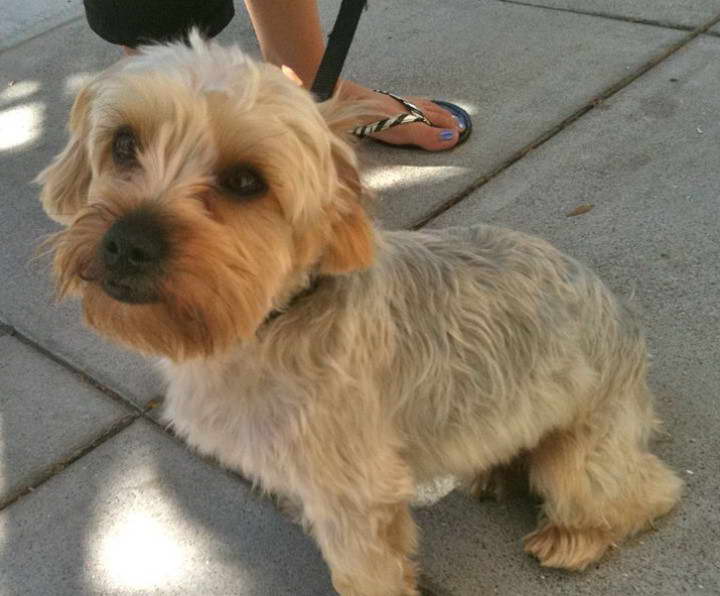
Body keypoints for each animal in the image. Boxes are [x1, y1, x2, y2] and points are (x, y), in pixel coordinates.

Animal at [38, 32, 680, 596]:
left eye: (245, 181)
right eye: (124, 143)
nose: (128, 242)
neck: (273, 322)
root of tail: (624, 315)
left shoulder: (355, 498)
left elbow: (364, 571)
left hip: (582, 459)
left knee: (646, 489)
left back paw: (578, 535)